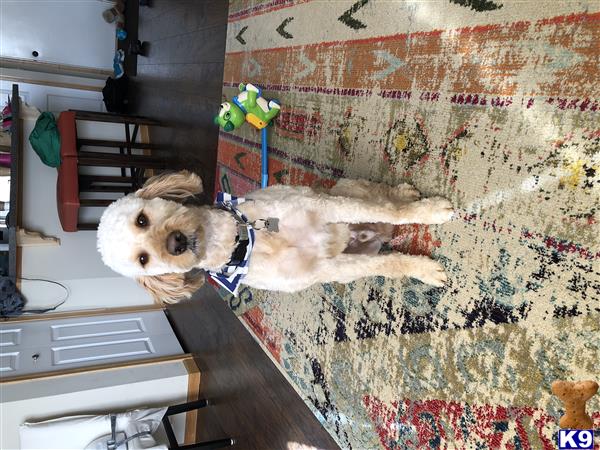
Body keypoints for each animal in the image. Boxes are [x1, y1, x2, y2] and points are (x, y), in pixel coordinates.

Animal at [97, 171, 454, 304]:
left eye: (141, 219)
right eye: (143, 260)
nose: (176, 243)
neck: (243, 242)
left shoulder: (324, 206)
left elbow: (394, 212)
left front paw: (430, 212)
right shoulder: (328, 268)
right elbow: (389, 263)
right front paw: (423, 270)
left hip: (344, 189)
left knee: (381, 198)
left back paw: (404, 193)